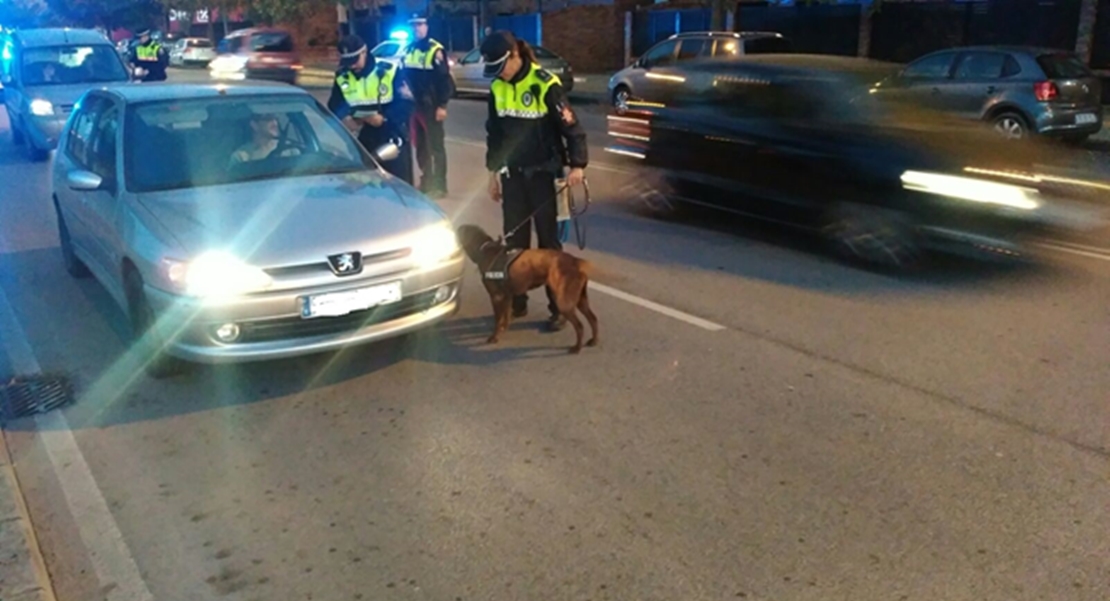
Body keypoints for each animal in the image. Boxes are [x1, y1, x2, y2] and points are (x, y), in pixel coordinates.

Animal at [457, 226, 603, 355]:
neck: (485, 248)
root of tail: (577, 262)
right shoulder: (507, 296)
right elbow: (506, 318)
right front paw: (503, 329)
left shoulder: (496, 297)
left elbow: (498, 320)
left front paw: (495, 337)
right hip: (581, 299)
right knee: (593, 318)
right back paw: (594, 340)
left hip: (564, 302)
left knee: (579, 326)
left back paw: (577, 348)